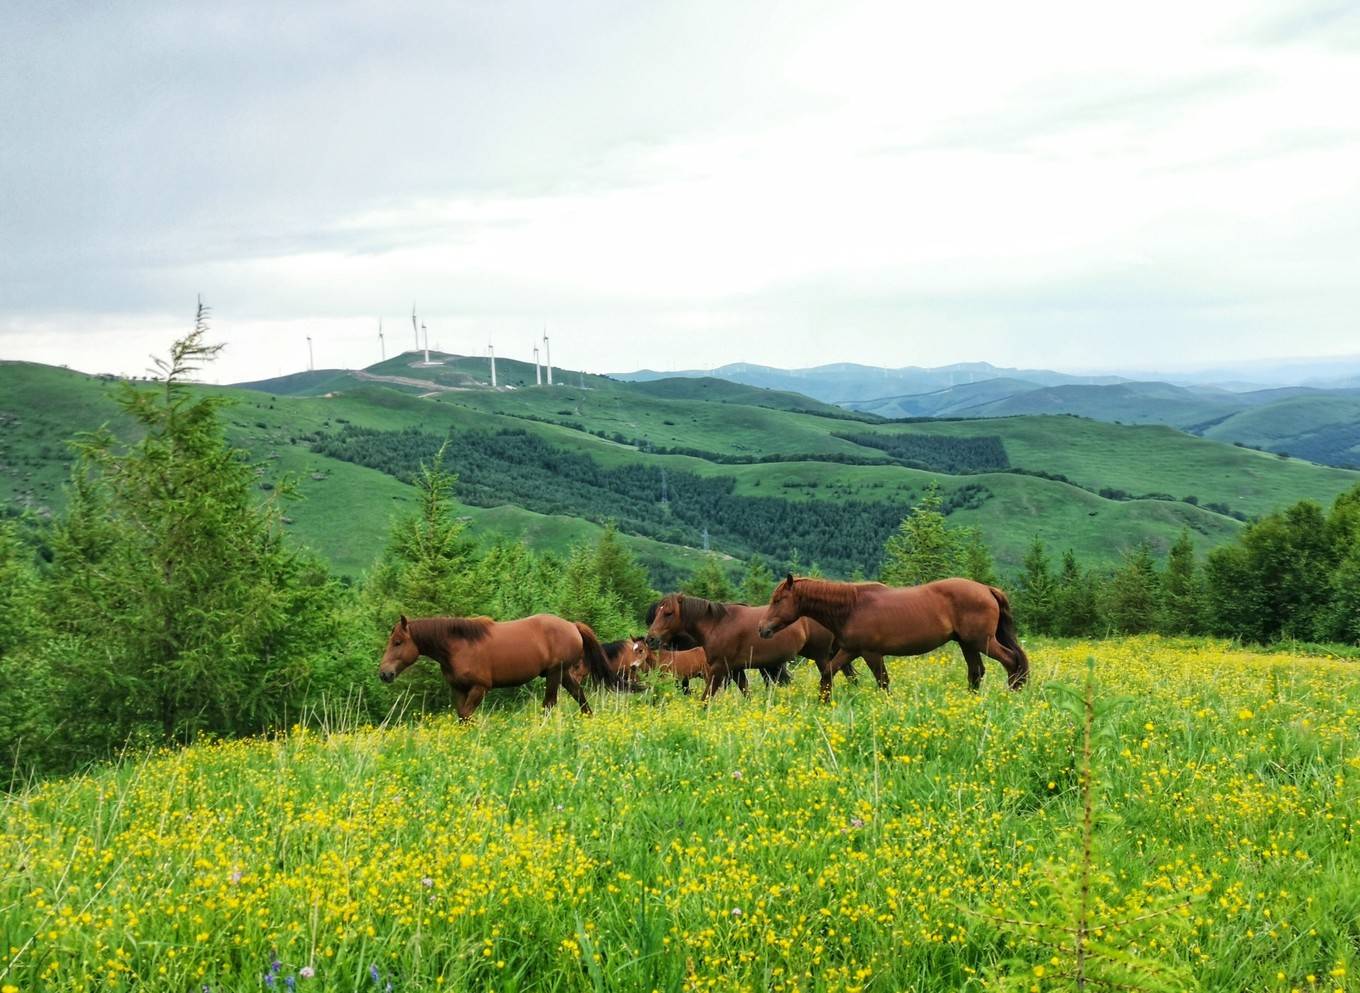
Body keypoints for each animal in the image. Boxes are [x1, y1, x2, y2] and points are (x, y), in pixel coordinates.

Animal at [380, 606, 620, 718]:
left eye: (398, 642)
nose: (384, 673)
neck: (458, 646)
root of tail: (572, 626)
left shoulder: (480, 688)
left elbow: (466, 715)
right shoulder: (458, 689)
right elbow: (462, 716)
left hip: (555, 673)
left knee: (550, 703)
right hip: (562, 674)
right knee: (579, 696)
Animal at [641, 593, 843, 701]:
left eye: (668, 613)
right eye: (656, 613)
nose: (650, 639)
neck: (717, 624)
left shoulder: (718, 669)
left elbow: (706, 697)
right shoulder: (736, 670)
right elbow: (746, 692)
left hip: (820, 656)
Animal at [756, 571, 1028, 696]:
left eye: (778, 600)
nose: (762, 628)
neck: (851, 607)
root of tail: (987, 589)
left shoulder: (871, 653)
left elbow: (882, 682)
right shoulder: (851, 651)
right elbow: (827, 674)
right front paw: (823, 701)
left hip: (982, 641)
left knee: (1010, 660)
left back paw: (1013, 691)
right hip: (967, 643)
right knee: (976, 671)